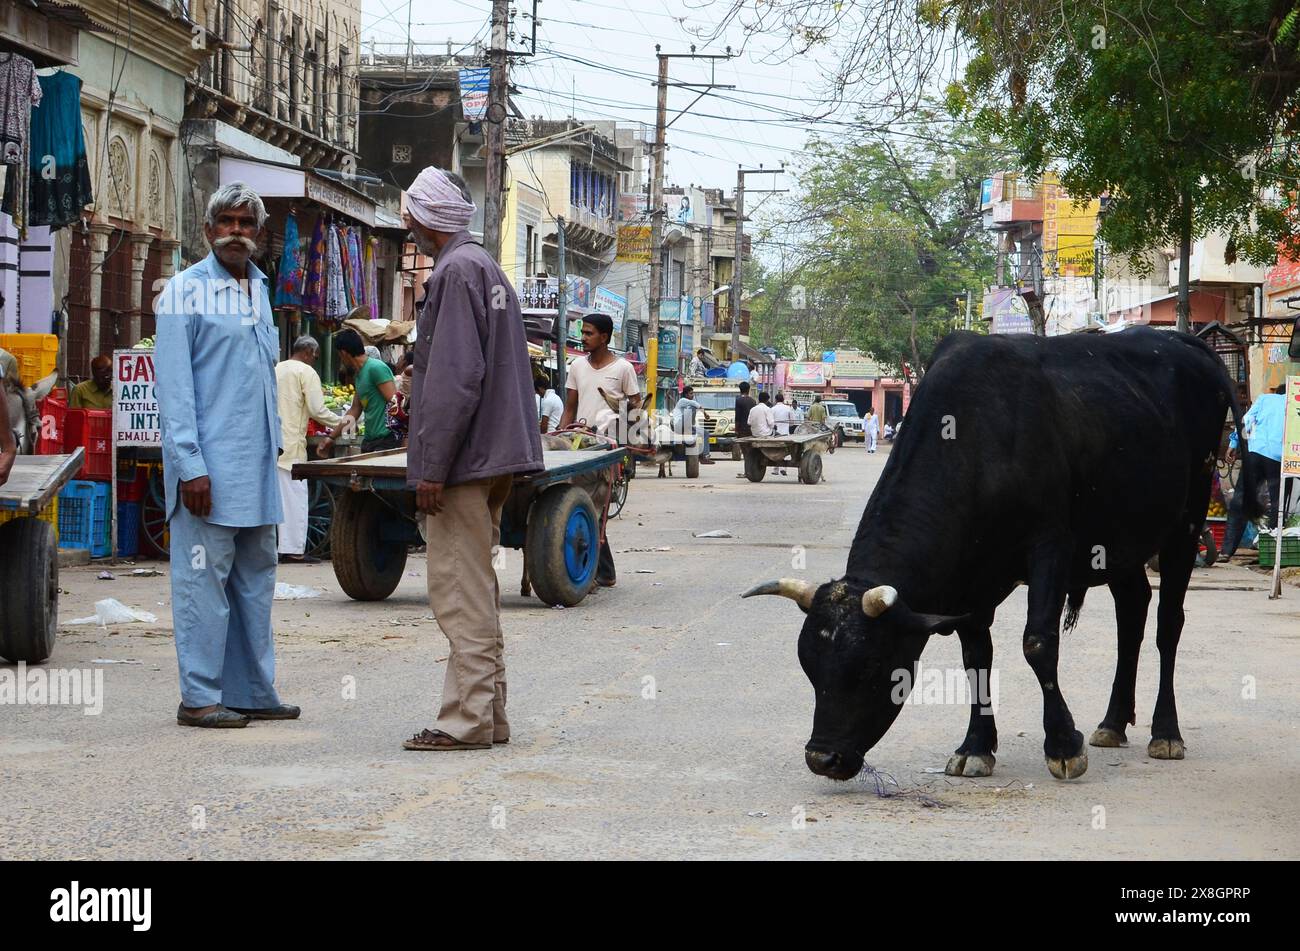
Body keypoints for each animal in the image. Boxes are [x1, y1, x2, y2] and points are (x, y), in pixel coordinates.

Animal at [743, 328, 1242, 781]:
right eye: (809, 666)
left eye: (871, 667)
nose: (821, 759)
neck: (980, 440)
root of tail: (1186, 343)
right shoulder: (971, 580)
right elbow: (975, 655)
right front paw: (976, 747)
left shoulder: (1051, 547)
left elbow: (1038, 643)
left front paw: (1064, 745)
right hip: (1123, 539)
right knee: (1132, 613)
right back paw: (1113, 723)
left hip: (1186, 521)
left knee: (1168, 624)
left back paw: (1166, 732)